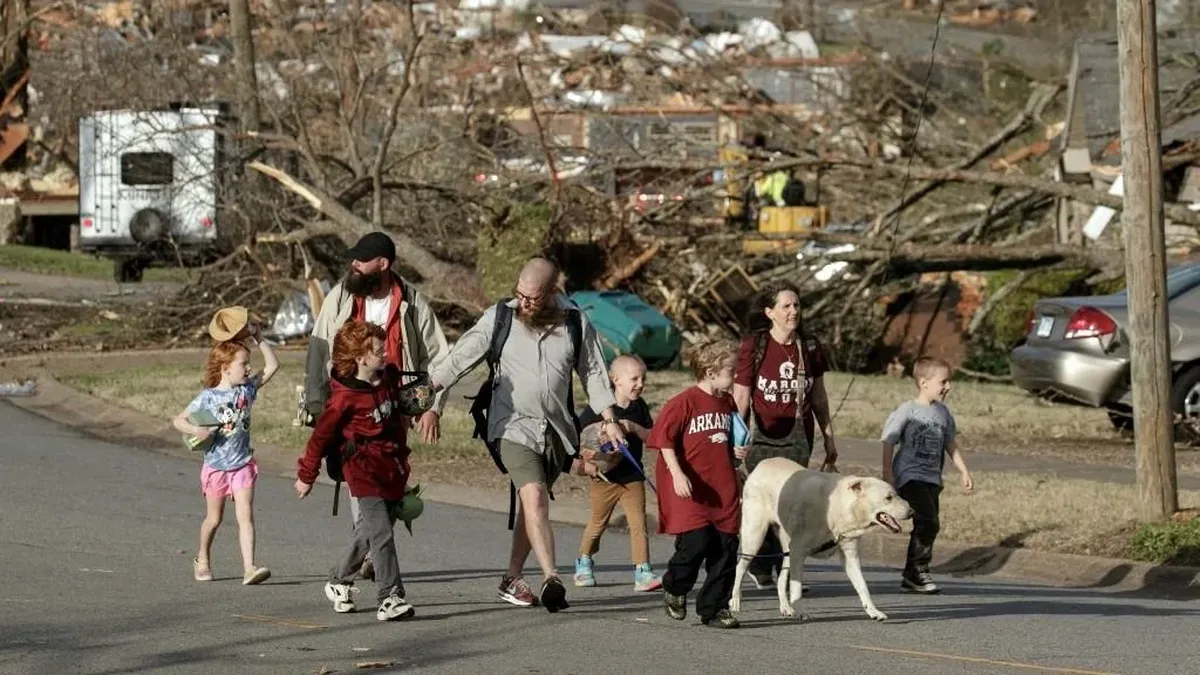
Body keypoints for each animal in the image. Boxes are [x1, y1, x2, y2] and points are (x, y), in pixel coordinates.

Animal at [724, 451, 912, 619]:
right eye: (888, 497)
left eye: (896, 495)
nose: (912, 512)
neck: (839, 507)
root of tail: (763, 463)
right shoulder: (799, 551)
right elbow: (796, 587)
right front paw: (801, 611)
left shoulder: (849, 554)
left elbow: (862, 585)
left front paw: (873, 611)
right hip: (754, 536)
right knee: (740, 567)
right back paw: (735, 601)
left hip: (787, 546)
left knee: (781, 578)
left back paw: (786, 607)